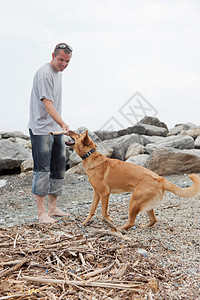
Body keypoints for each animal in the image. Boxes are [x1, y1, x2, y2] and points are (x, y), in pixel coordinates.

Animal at [66, 130, 200, 231]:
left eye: (78, 134)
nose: (69, 130)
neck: (91, 157)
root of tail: (160, 179)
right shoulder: (96, 194)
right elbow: (91, 210)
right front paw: (85, 222)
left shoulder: (104, 194)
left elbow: (104, 213)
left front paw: (108, 222)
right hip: (144, 203)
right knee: (153, 220)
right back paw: (143, 226)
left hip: (134, 201)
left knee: (131, 222)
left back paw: (120, 229)